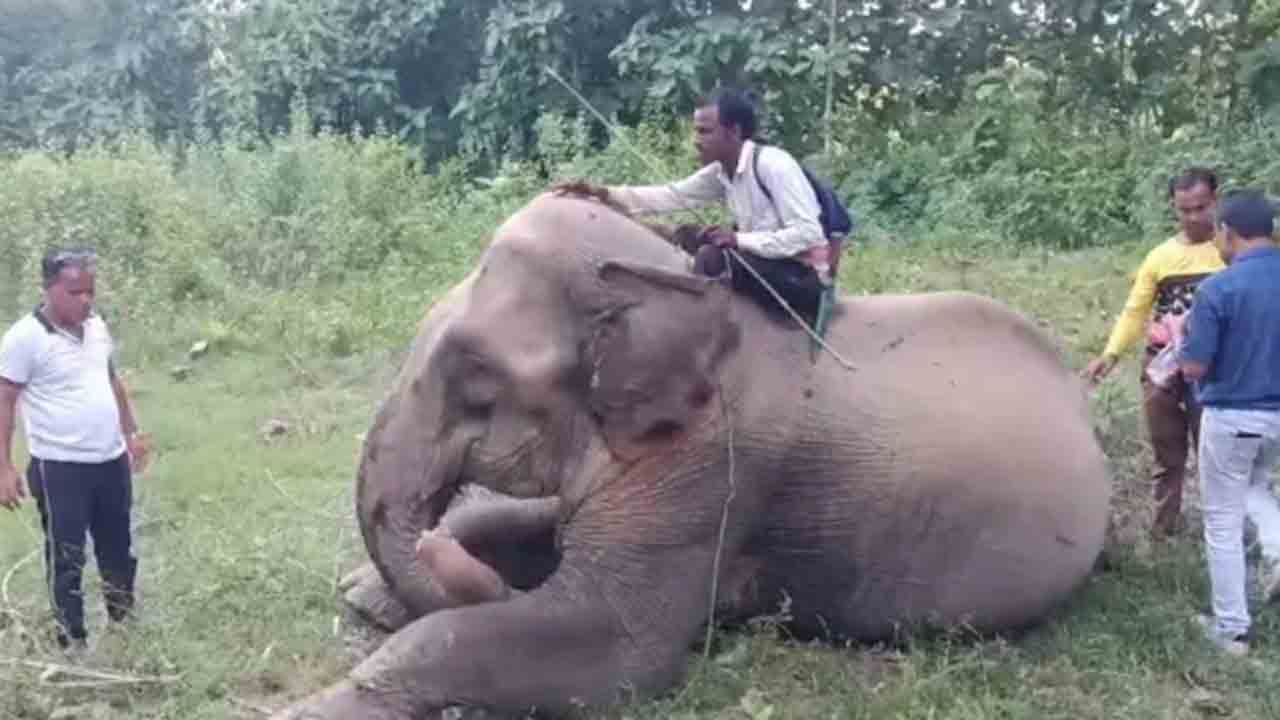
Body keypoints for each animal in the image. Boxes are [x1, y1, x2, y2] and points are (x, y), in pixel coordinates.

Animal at [274, 192, 1110, 719]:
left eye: (477, 375)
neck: (674, 289)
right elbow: (534, 530)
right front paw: (367, 598)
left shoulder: (715, 462)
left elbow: (616, 644)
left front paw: (314, 705)